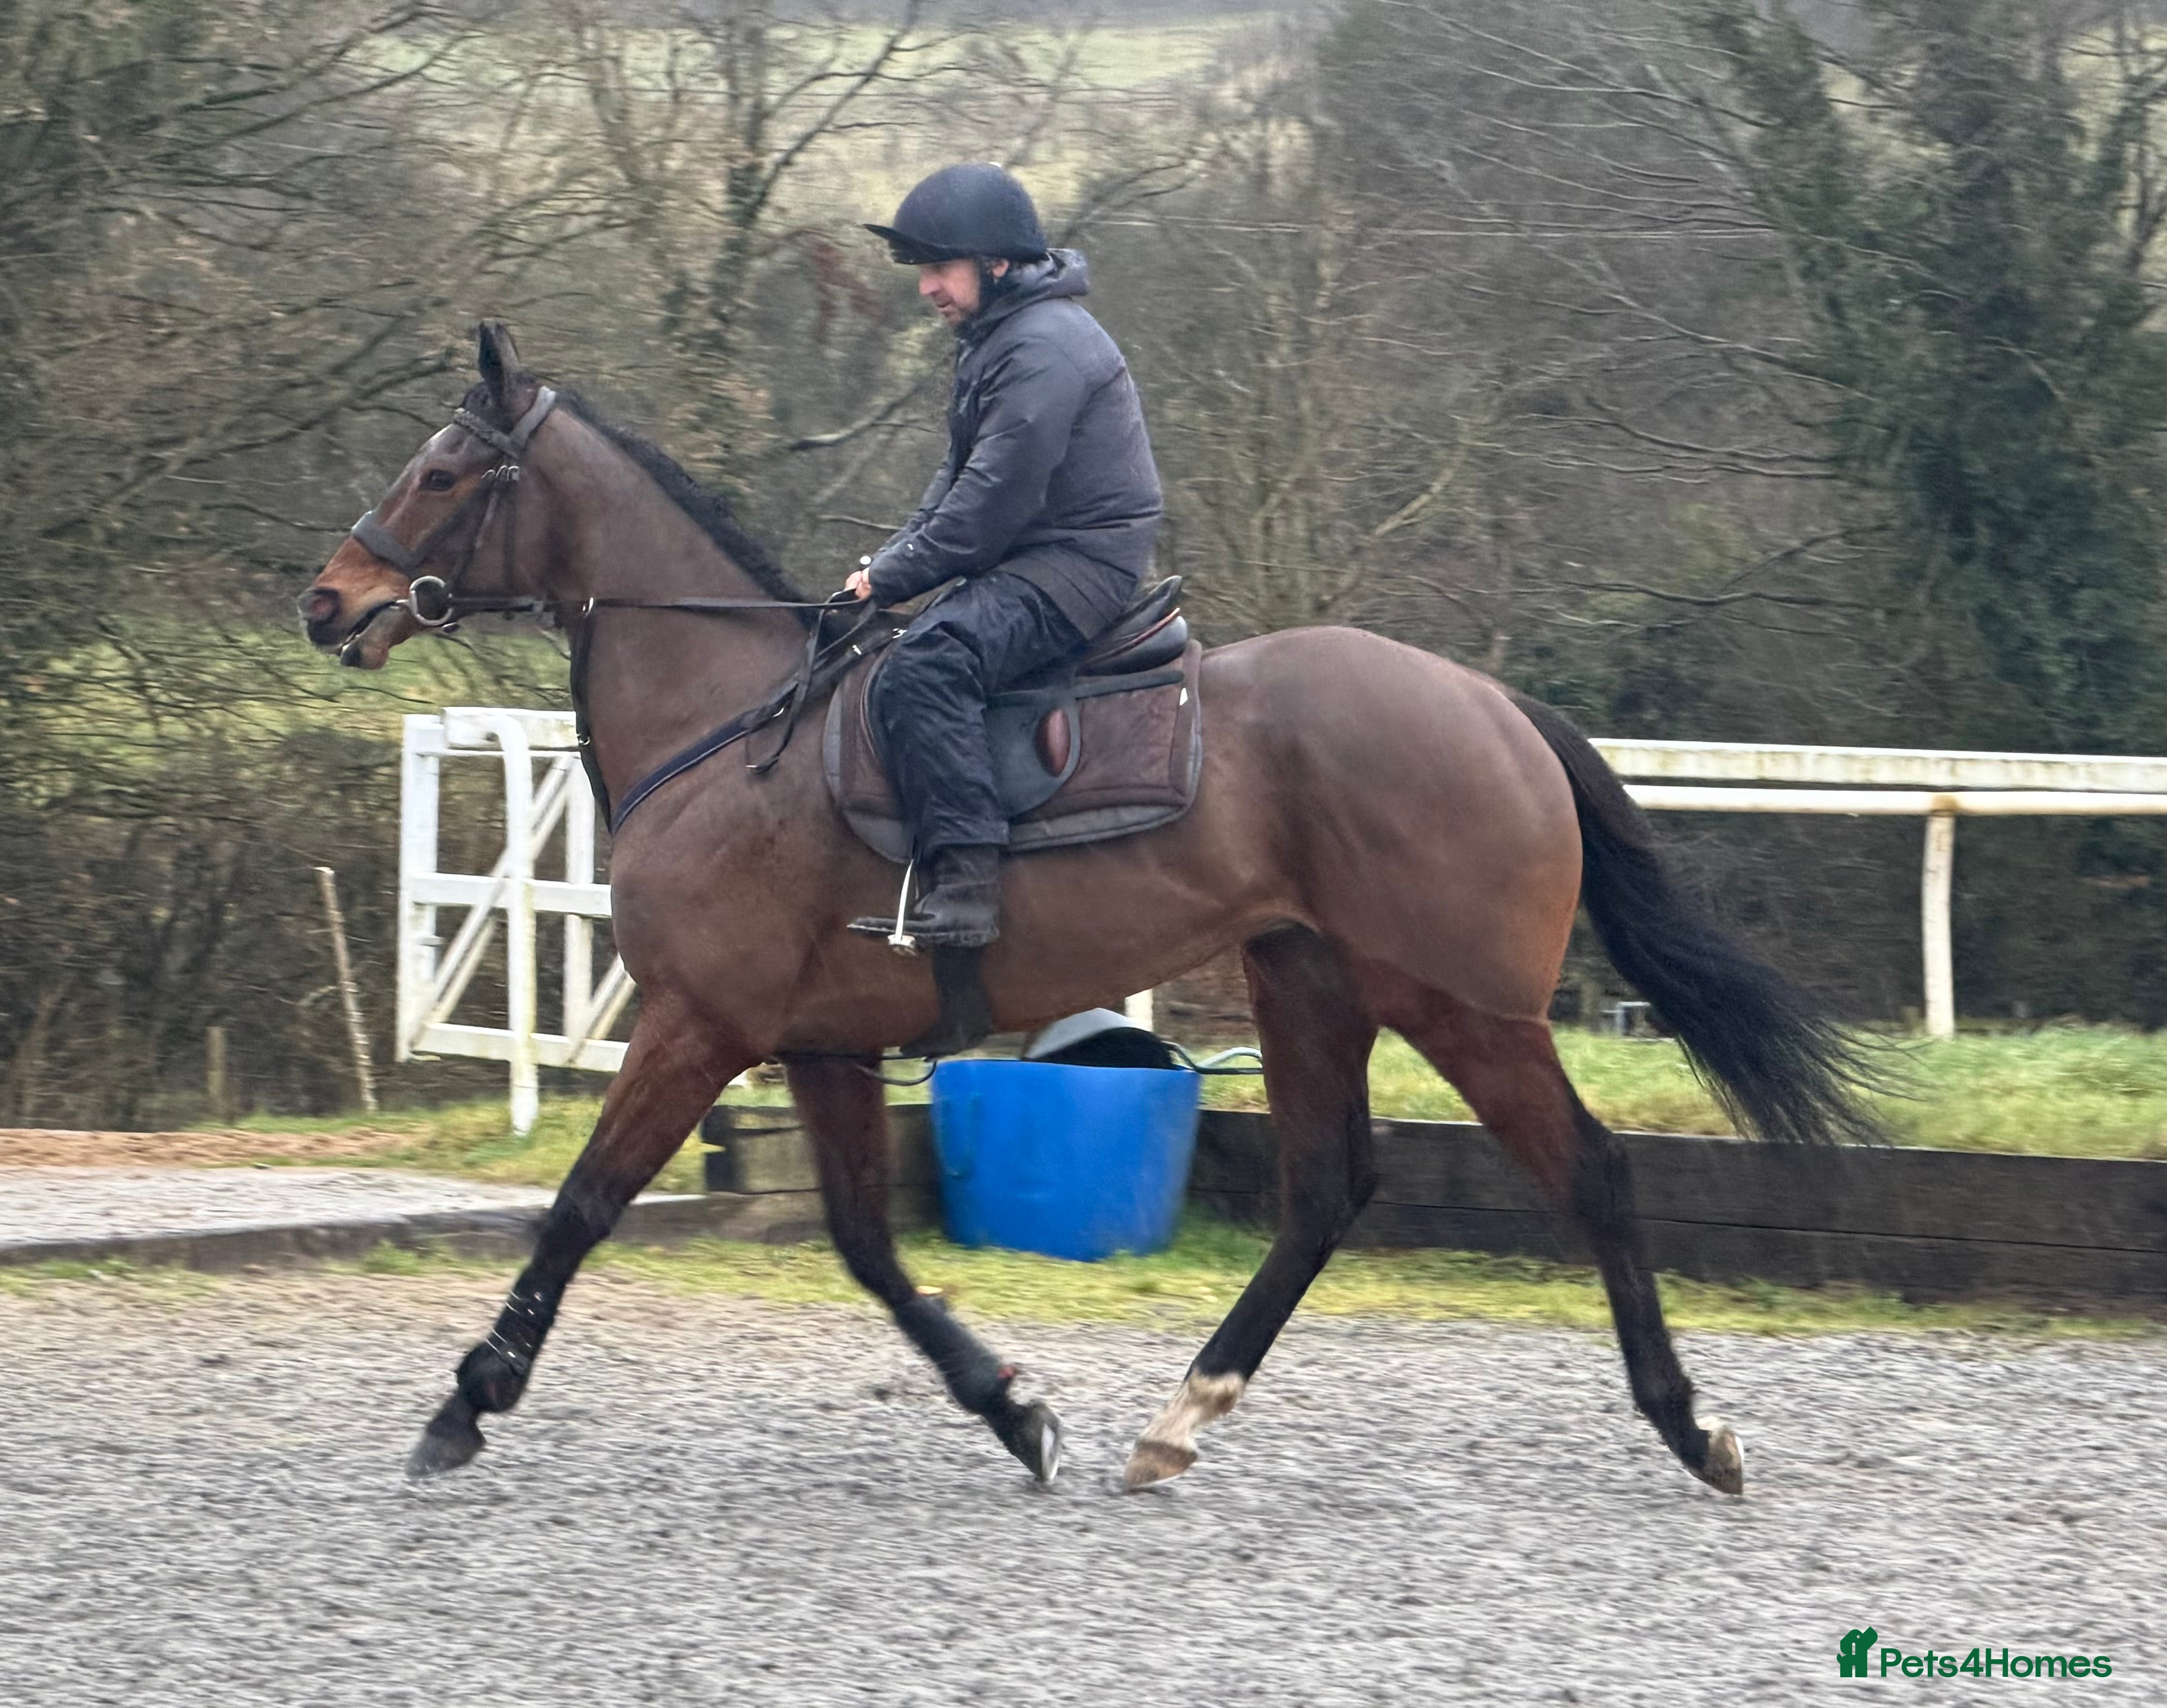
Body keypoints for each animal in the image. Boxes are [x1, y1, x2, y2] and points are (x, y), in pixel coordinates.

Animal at [301, 322, 1877, 1495]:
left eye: (442, 472)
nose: (328, 600)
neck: (726, 722)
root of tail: (1493, 706)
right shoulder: (815, 1044)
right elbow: (867, 1245)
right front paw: (1011, 1407)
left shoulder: (700, 1025)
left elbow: (578, 1206)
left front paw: (466, 1403)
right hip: (1308, 983)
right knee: (1322, 1191)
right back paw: (1179, 1416)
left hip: (1462, 1008)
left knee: (1591, 1176)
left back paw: (1690, 1425)